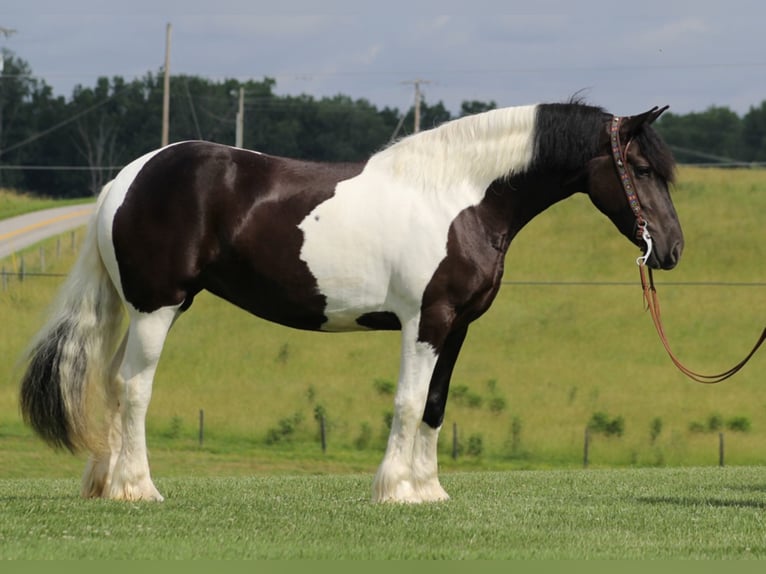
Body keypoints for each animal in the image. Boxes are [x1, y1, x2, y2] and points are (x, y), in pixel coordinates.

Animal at [22, 102, 684, 504]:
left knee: (111, 383)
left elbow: (435, 405)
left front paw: (429, 491)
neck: (461, 197)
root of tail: (127, 177)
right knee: (134, 387)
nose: (672, 249)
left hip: (140, 310)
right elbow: (408, 401)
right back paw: (139, 488)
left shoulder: (458, 326)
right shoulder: (425, 321)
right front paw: (396, 490)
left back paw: (108, 485)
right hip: (158, 307)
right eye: (641, 168)